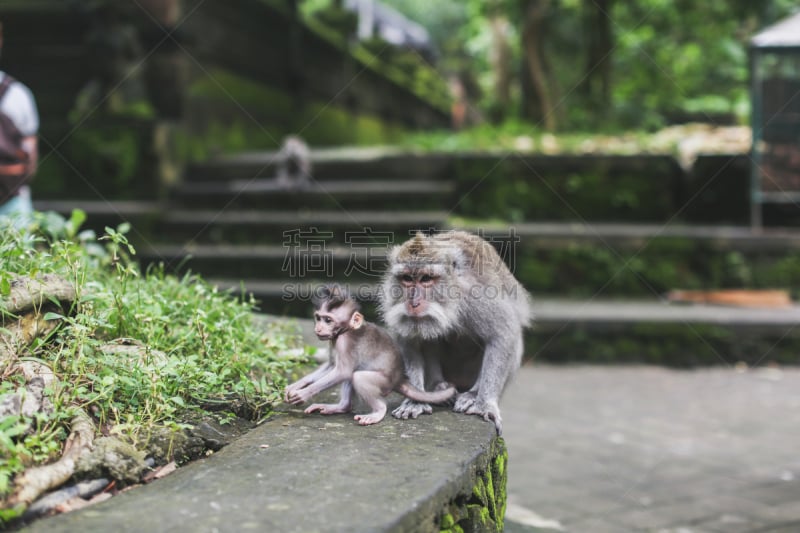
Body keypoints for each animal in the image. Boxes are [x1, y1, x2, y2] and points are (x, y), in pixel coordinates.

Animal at [284, 284, 454, 426]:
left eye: (328, 320)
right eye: (318, 318)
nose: (318, 329)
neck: (345, 330)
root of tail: (399, 378)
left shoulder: (344, 342)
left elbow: (342, 371)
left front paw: (303, 393)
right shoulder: (333, 341)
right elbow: (332, 365)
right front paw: (294, 386)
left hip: (384, 382)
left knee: (357, 376)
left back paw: (378, 412)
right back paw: (341, 407)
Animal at [380, 230, 536, 432]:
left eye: (426, 278)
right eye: (407, 278)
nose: (413, 303)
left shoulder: (478, 296)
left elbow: (503, 333)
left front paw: (484, 404)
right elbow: (408, 341)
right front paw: (416, 400)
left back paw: (473, 394)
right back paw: (437, 388)